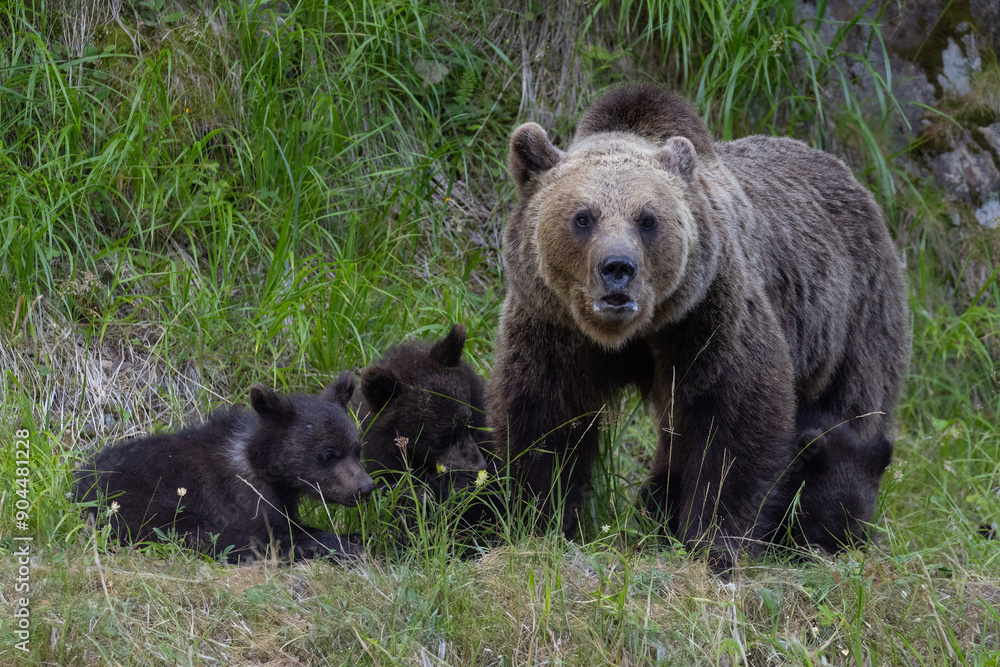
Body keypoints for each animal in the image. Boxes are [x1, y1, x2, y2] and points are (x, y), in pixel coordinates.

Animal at [73, 371, 375, 562]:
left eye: (357, 449)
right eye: (329, 454)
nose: (365, 487)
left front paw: (354, 536)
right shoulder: (239, 494)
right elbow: (268, 532)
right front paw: (342, 543)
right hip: (138, 502)